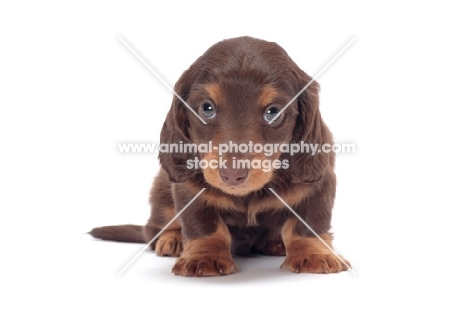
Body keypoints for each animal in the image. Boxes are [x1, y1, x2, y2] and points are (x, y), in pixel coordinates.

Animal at [89, 36, 350, 278]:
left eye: (274, 113)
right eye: (207, 108)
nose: (232, 174)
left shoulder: (319, 185)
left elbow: (307, 223)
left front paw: (314, 254)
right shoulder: (190, 189)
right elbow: (204, 225)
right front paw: (204, 256)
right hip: (161, 190)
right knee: (155, 228)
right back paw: (173, 239)